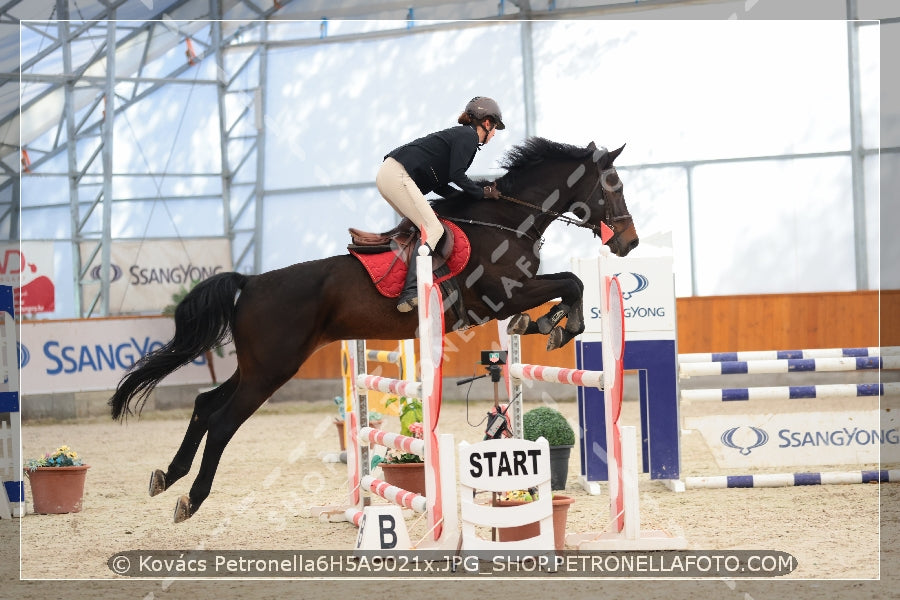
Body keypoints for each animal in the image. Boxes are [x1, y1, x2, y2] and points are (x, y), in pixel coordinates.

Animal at [107, 136, 640, 520]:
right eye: (613, 184)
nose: (630, 242)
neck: (507, 219)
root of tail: (251, 281)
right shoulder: (503, 293)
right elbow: (571, 282)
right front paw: (559, 323)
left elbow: (566, 287)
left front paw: (546, 323)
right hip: (272, 369)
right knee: (220, 421)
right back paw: (190, 499)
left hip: (258, 365)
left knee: (203, 404)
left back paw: (166, 477)